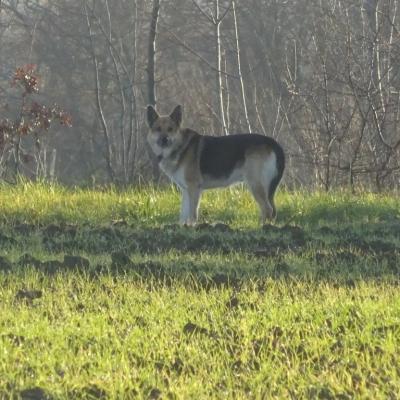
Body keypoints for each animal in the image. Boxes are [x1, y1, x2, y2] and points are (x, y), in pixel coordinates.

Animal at [146, 104, 284, 225]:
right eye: (158, 129)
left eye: (170, 129)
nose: (164, 140)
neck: (180, 146)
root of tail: (272, 142)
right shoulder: (186, 190)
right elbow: (183, 214)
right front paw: (183, 227)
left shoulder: (193, 188)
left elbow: (192, 214)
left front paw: (191, 227)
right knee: (269, 210)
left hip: (255, 184)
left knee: (267, 209)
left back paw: (261, 226)